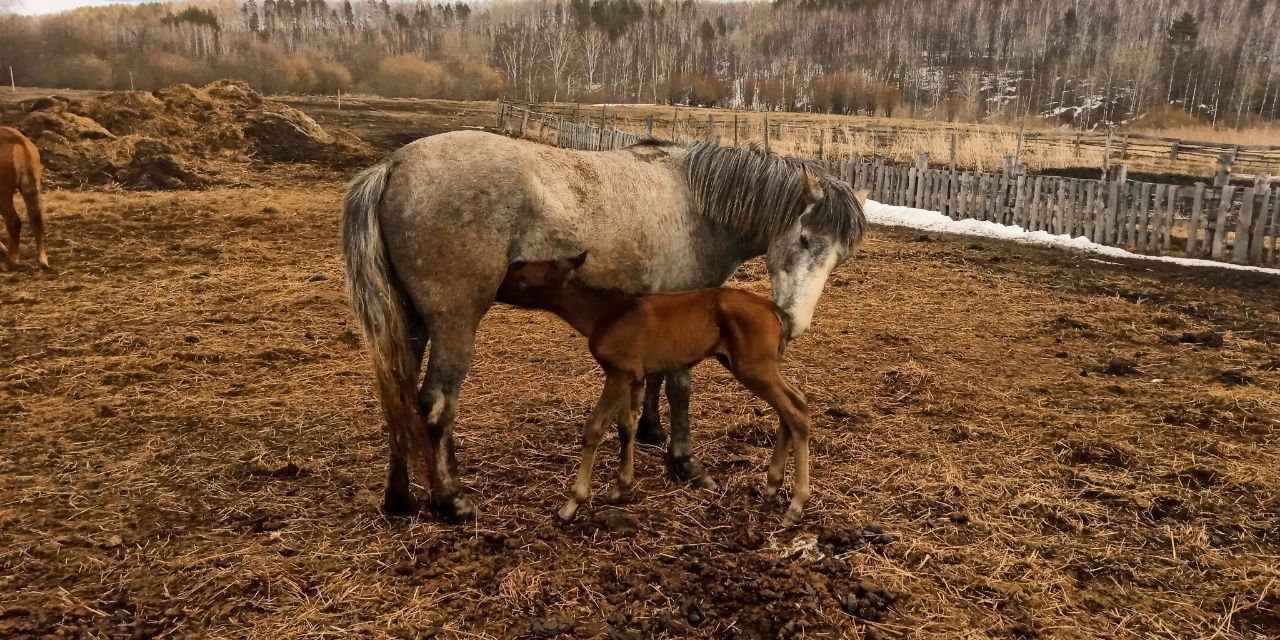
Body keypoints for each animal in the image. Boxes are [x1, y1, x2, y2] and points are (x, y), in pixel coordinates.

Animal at [499, 252, 808, 522]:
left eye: (524, 275)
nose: (497, 289)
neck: (607, 314)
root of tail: (775, 309)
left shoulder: (618, 374)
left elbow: (594, 428)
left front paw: (572, 503)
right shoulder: (634, 377)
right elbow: (627, 426)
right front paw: (621, 487)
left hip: (754, 369)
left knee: (795, 412)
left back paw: (796, 505)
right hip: (755, 367)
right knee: (795, 404)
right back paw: (772, 487)